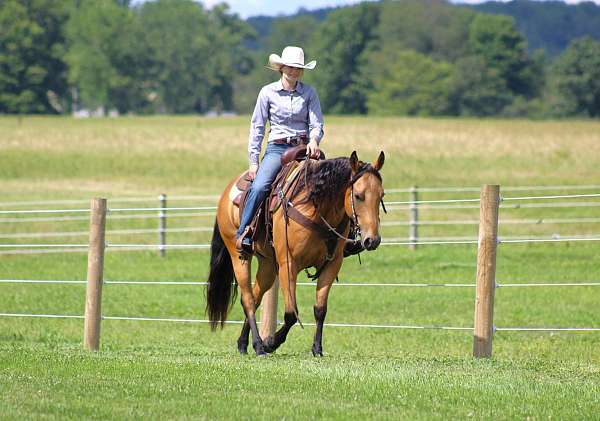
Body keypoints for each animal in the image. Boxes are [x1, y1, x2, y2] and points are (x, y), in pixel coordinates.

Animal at [205, 148, 384, 354]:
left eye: (381, 196)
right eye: (359, 196)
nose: (373, 240)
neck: (315, 208)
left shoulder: (332, 265)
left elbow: (320, 309)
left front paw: (317, 348)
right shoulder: (288, 264)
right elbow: (291, 313)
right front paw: (271, 343)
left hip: (268, 264)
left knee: (256, 297)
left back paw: (243, 343)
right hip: (239, 257)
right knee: (248, 299)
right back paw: (259, 345)